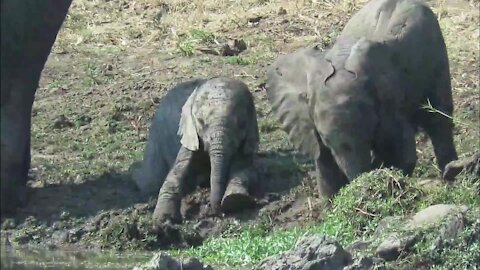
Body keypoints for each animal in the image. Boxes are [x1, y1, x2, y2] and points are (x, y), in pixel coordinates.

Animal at [133, 76, 260, 224]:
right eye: (200, 122)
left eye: (241, 124)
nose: (216, 213)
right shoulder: (190, 135)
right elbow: (176, 172)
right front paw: (163, 219)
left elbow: (246, 171)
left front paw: (236, 200)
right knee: (150, 182)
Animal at [266, 0, 458, 198]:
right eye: (326, 139)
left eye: (367, 134)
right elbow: (326, 170)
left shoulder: (390, 100)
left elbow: (401, 156)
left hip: (437, 54)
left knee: (439, 119)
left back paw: (450, 175)